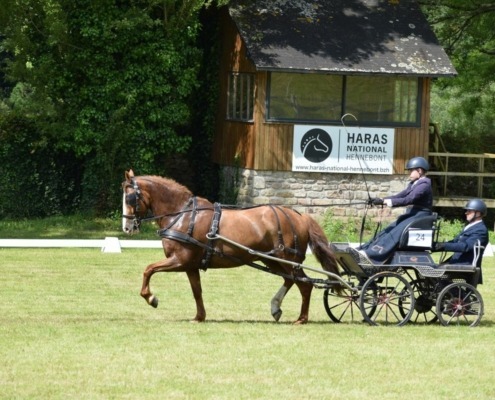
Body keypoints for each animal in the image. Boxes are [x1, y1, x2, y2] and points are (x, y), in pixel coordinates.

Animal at [123, 170, 340, 324]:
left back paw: (301, 319)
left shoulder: (180, 260)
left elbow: (148, 269)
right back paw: (276, 307)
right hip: (270, 259)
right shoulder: (190, 266)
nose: (126, 227)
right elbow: (197, 291)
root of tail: (300, 217)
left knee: (305, 284)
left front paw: (151, 298)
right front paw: (199, 317)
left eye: (130, 198)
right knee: (291, 280)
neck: (182, 215)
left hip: (287, 259)